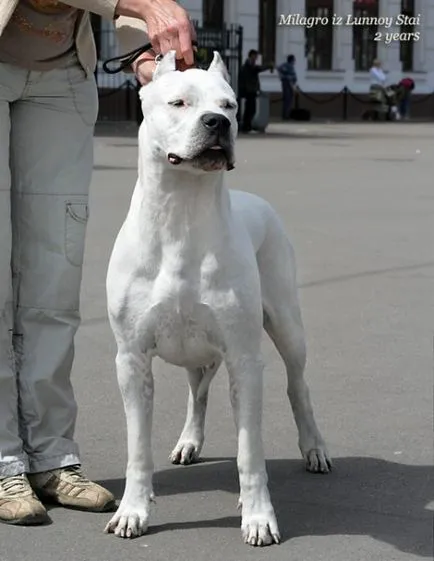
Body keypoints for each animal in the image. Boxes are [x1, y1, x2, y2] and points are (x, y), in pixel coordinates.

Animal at [104, 50, 328, 544]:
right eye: (179, 102)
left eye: (229, 105)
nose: (216, 123)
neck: (182, 214)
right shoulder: (131, 359)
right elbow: (136, 447)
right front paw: (133, 510)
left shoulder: (245, 360)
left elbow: (250, 451)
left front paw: (259, 516)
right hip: (196, 350)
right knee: (198, 391)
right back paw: (189, 442)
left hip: (287, 326)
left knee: (298, 386)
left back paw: (314, 448)